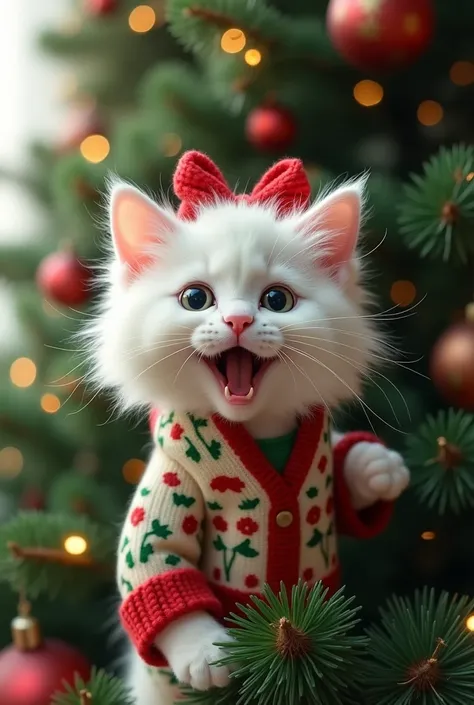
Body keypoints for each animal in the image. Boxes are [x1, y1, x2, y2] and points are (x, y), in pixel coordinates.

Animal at [84, 154, 408, 704]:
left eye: (276, 300)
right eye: (196, 298)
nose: (238, 320)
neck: (257, 429)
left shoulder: (322, 474)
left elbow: (346, 487)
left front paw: (376, 467)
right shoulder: (170, 484)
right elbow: (155, 562)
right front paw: (204, 654)